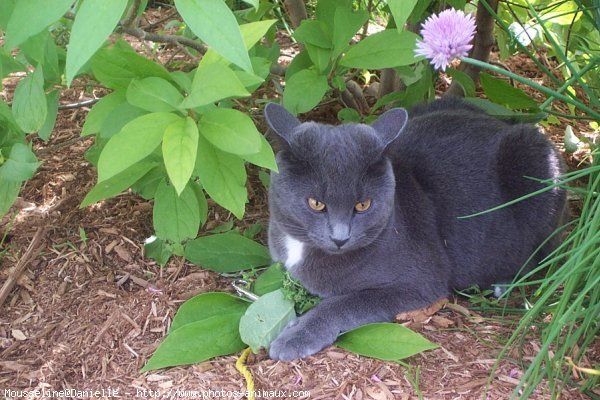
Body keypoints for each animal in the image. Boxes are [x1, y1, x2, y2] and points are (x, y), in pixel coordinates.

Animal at [264, 98, 568, 360]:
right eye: (316, 203)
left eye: (363, 205)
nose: (340, 238)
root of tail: (503, 123)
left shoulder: (420, 282)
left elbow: (343, 304)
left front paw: (295, 336)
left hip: (535, 162)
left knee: (540, 255)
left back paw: (503, 283)